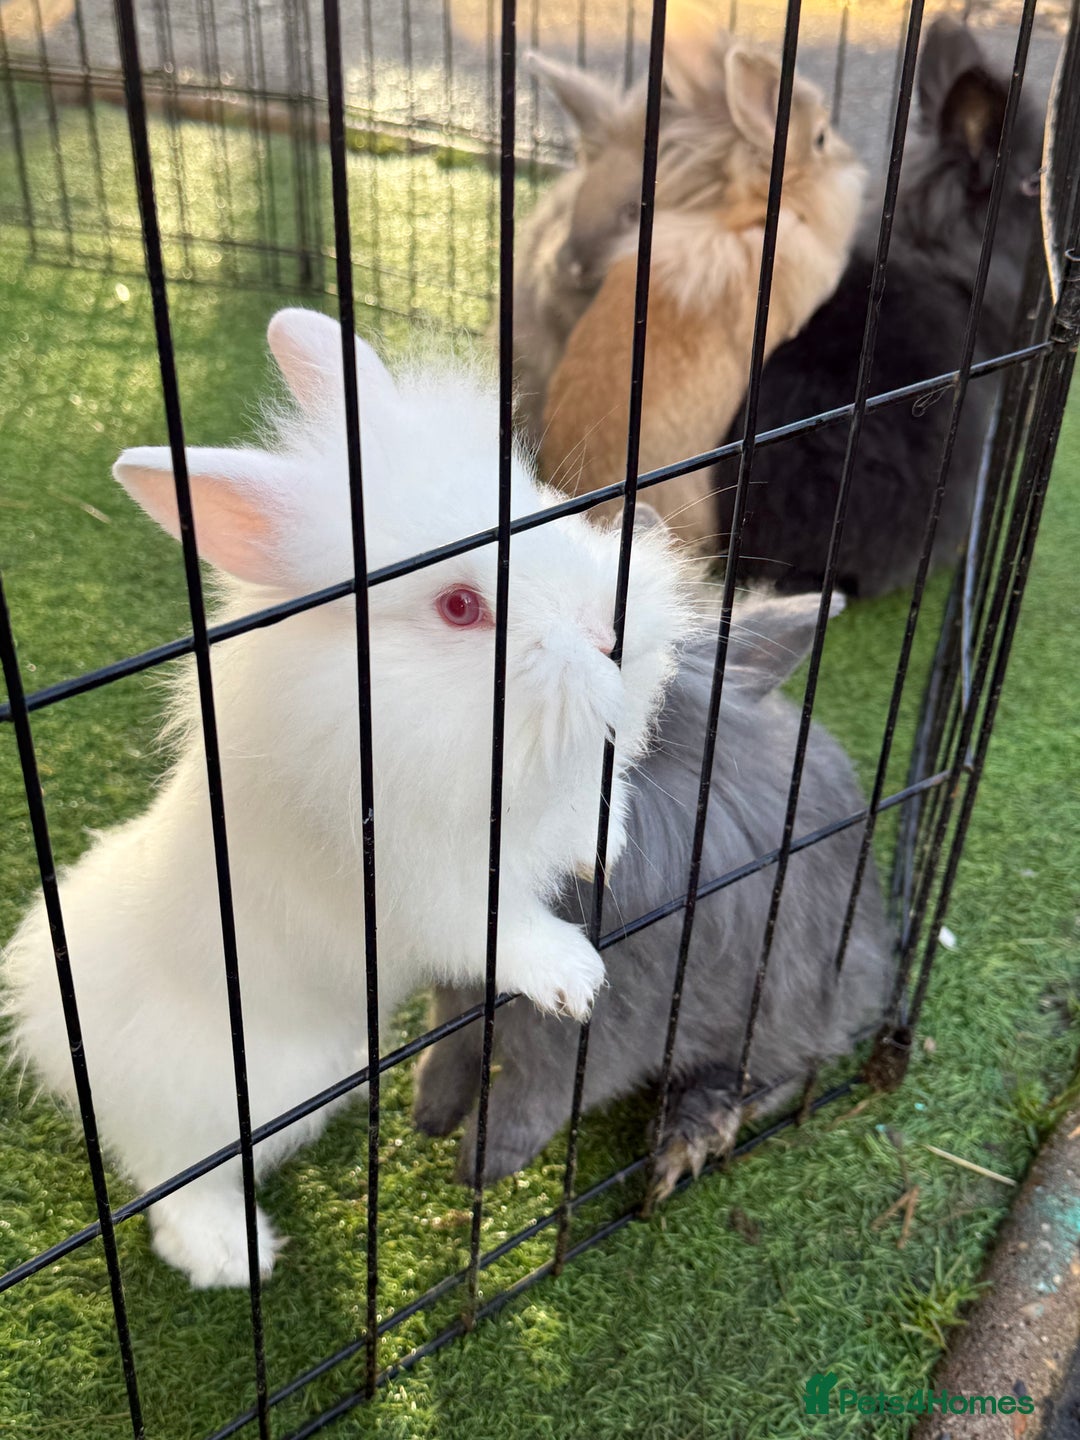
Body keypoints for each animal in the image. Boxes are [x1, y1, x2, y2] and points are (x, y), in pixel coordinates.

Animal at [2, 308, 695, 1288]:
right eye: (458, 607)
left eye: (535, 503)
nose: (612, 634)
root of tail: (50, 1022)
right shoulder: (419, 885)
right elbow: (497, 930)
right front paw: (576, 981)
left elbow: (581, 816)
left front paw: (608, 846)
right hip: (216, 1102)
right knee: (168, 1174)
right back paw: (230, 1253)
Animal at [413, 590, 894, 1198]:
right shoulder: (455, 999)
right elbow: (448, 1049)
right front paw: (427, 1115)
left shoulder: (598, 1033)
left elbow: (538, 1095)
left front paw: (483, 1165)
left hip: (781, 1006)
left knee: (786, 1068)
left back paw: (692, 1134)